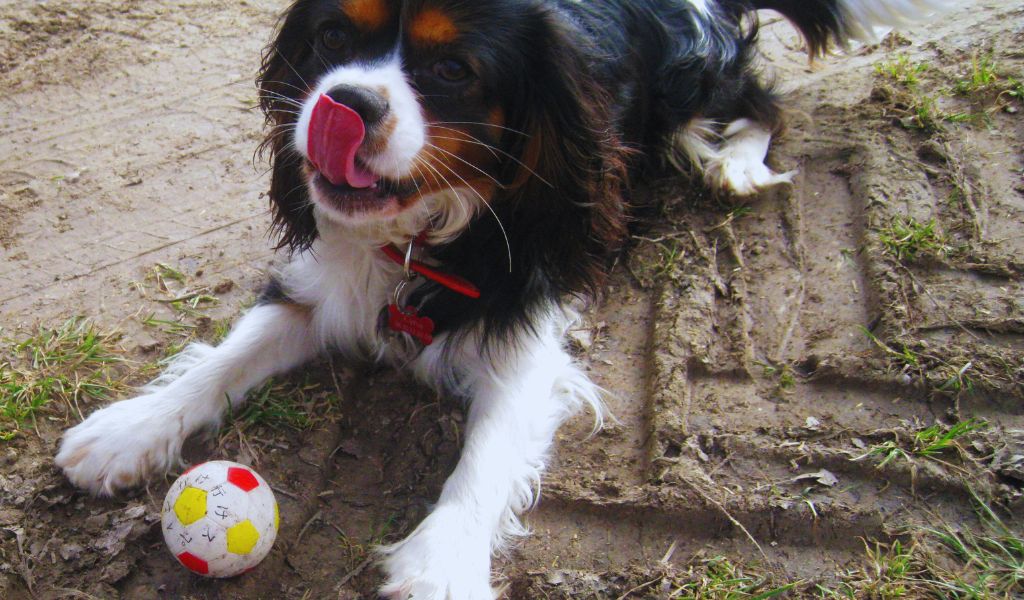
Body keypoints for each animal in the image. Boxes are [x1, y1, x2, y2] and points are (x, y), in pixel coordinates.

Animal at [58, 0, 942, 593]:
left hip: (698, 74)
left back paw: (731, 162)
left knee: (763, 102)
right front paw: (126, 430)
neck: (421, 231)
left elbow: (481, 461)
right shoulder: (319, 284)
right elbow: (227, 356)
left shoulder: (528, 345)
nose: (345, 102)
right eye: (333, 38)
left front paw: (439, 566)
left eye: (453, 70)